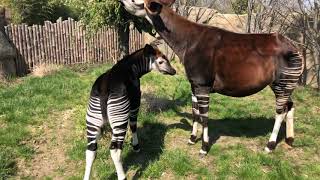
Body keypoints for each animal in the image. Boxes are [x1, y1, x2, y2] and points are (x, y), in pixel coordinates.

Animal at [84, 44, 176, 180]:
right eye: (161, 61)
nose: (174, 71)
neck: (132, 68)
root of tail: (104, 89)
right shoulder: (135, 102)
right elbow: (133, 125)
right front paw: (136, 147)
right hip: (119, 117)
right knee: (115, 149)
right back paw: (123, 177)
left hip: (93, 120)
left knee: (91, 150)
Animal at [120, 0, 304, 155]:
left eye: (138, 2)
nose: (121, 2)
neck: (188, 41)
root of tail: (296, 48)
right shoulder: (194, 84)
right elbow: (195, 112)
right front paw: (192, 139)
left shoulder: (202, 85)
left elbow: (204, 115)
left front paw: (204, 148)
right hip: (282, 84)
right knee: (290, 106)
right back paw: (289, 140)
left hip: (282, 82)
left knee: (280, 111)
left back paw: (269, 146)